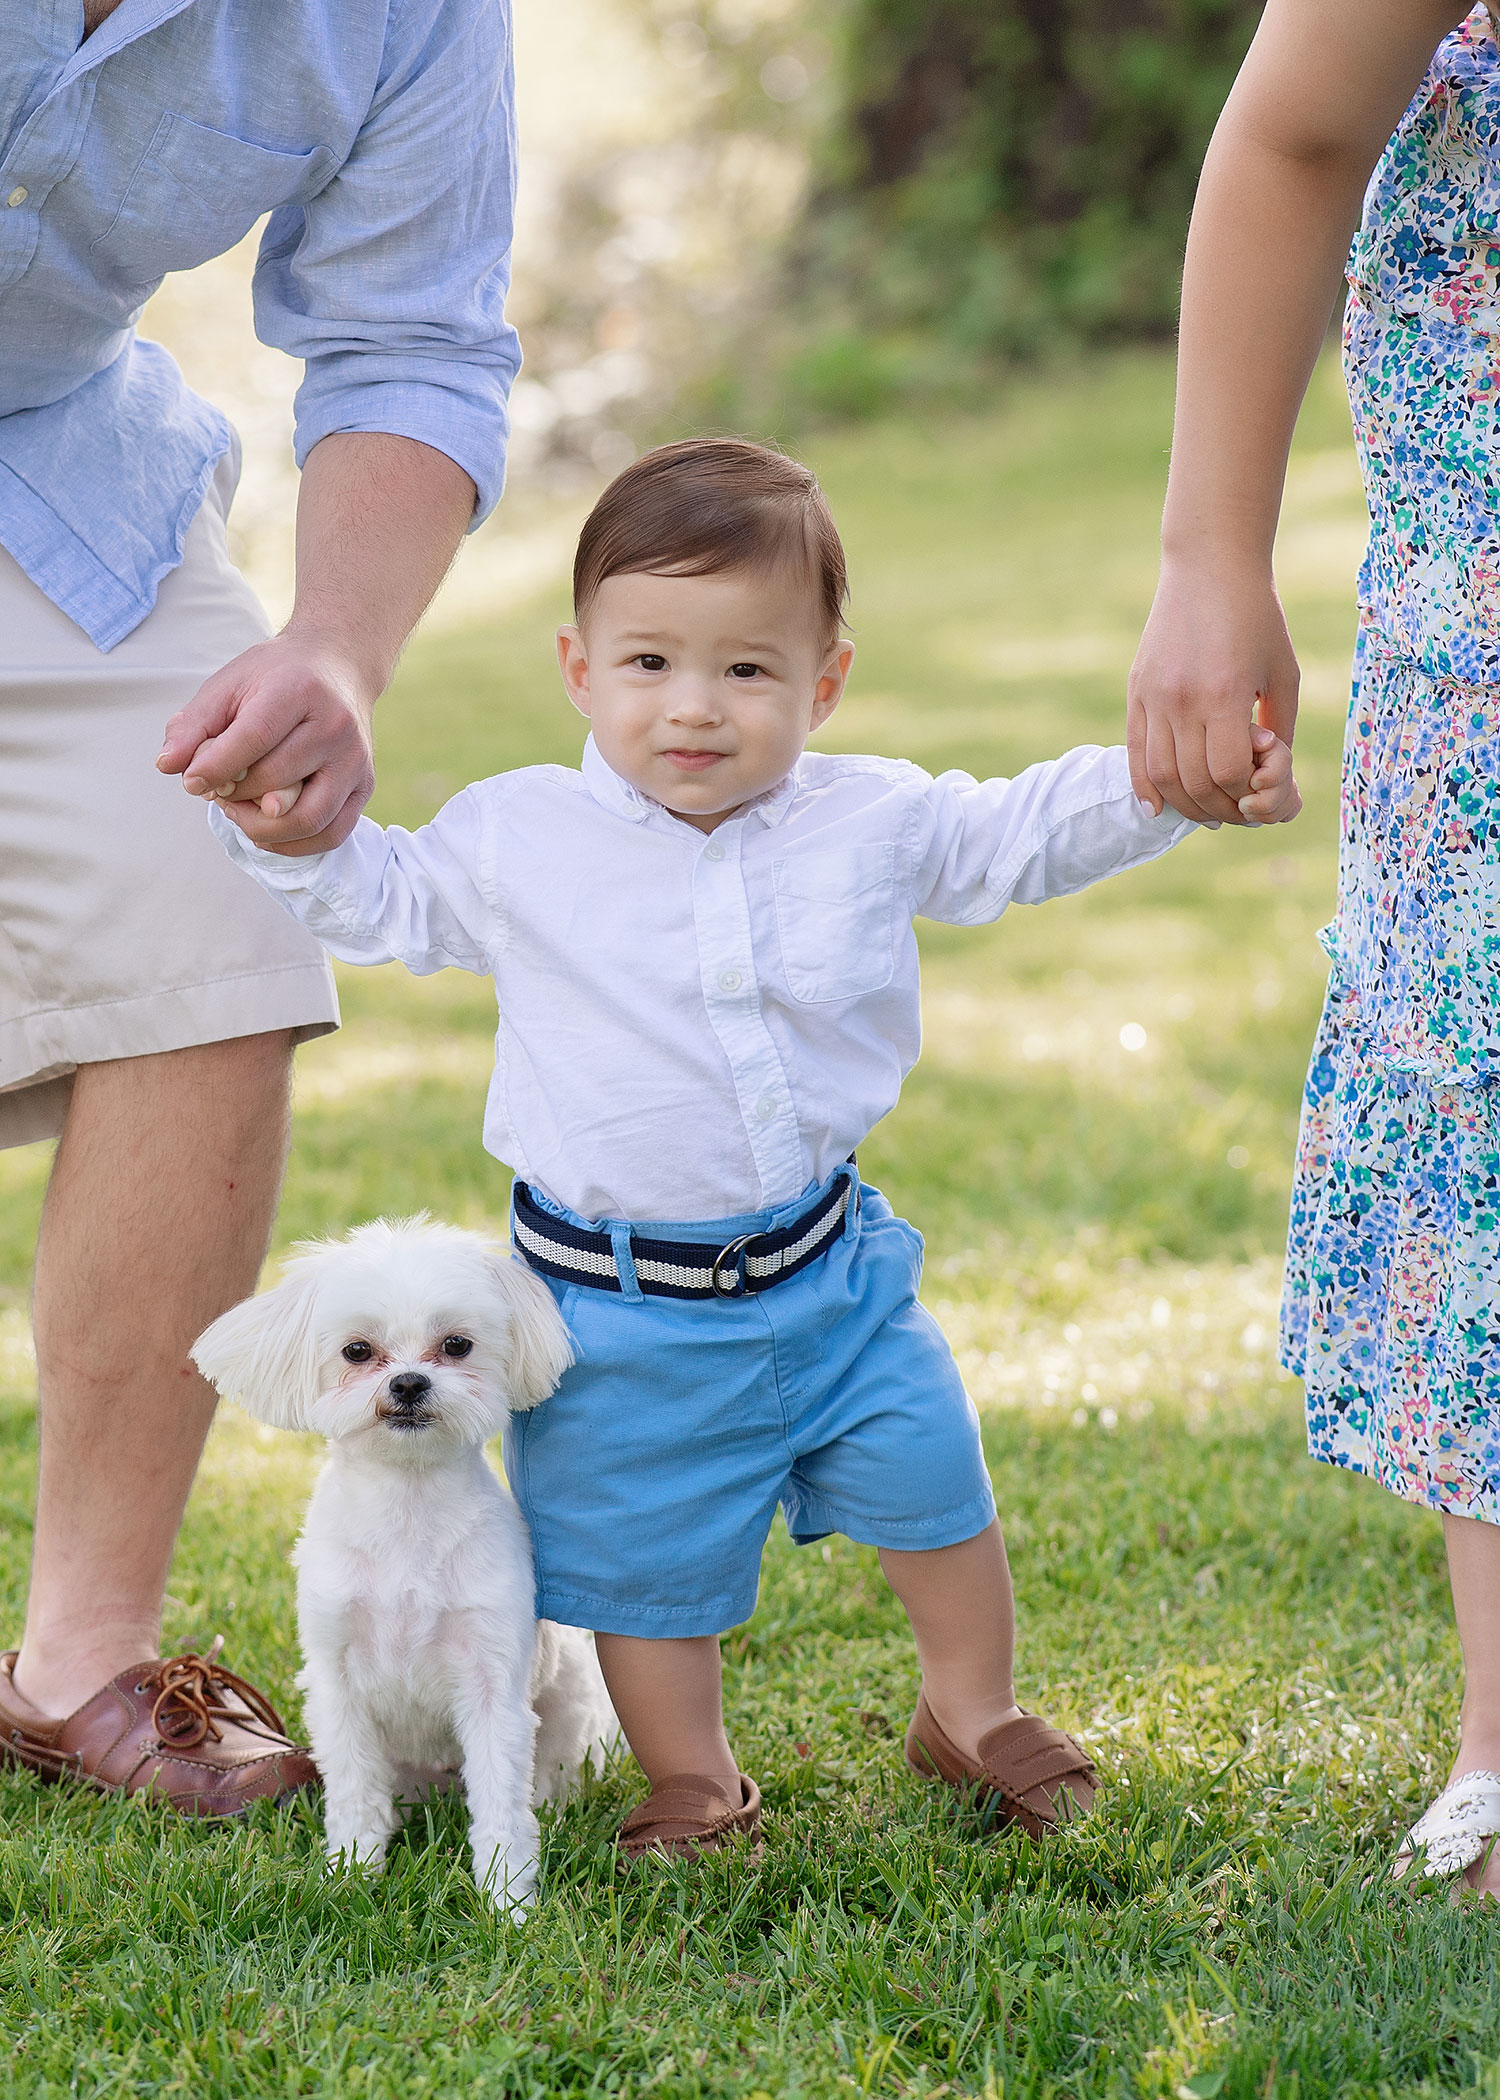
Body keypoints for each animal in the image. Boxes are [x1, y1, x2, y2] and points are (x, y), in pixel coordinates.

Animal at [190, 1218, 617, 1923]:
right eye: (357, 1351)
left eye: (457, 1344)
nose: (410, 1383)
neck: (408, 1514)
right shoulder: (338, 1683)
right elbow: (356, 1791)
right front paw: (352, 1874)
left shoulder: (492, 1686)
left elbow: (502, 1803)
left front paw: (507, 1902)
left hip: (568, 1708)